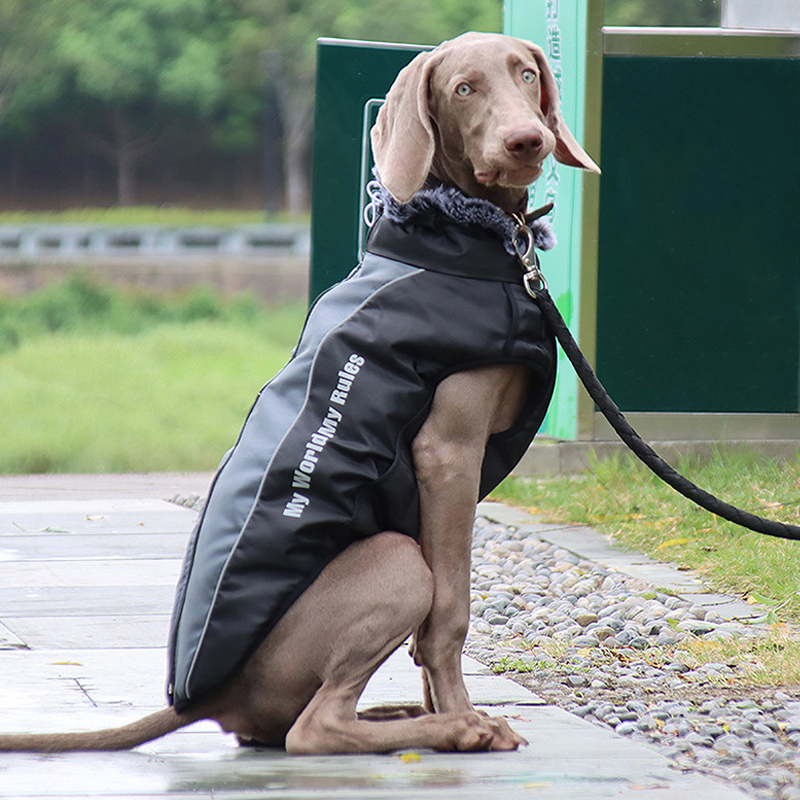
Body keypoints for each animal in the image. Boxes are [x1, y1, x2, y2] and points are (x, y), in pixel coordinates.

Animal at [0, 29, 596, 756]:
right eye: (464, 89)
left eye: (527, 74)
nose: (526, 141)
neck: (462, 237)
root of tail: (206, 699)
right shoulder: (449, 450)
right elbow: (451, 611)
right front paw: (464, 713)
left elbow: (432, 632)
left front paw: (445, 703)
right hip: (395, 559)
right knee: (311, 730)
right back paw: (449, 728)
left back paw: (406, 717)